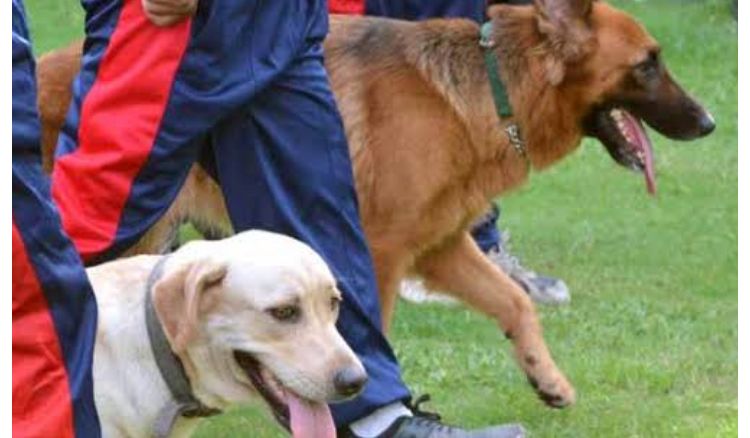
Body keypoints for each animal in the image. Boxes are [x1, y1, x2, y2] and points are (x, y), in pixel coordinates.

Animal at [36, 0, 716, 408]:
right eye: (649, 64)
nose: (710, 122)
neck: (492, 84)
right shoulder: (382, 255)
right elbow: (372, 333)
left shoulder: (442, 246)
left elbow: (514, 301)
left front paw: (545, 376)